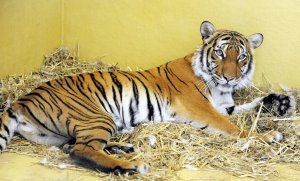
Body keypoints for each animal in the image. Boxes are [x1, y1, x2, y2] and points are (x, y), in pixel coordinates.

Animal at [0, 20, 296, 174]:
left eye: (242, 56)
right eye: (220, 53)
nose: (230, 78)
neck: (220, 89)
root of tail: (19, 100)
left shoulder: (225, 106)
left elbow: (248, 108)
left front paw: (280, 102)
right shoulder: (202, 109)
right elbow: (236, 129)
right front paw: (267, 136)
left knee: (72, 146)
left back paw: (125, 149)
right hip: (98, 116)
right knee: (79, 150)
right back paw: (131, 166)